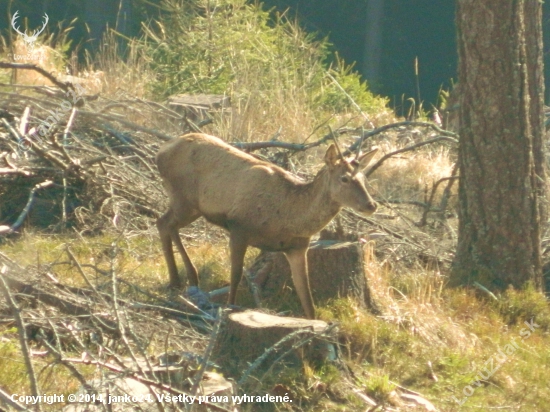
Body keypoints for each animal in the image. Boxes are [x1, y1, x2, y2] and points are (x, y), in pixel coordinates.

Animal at [156, 132, 380, 318]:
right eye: (344, 178)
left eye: (363, 177)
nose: (371, 204)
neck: (288, 219)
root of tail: (161, 151)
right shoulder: (238, 227)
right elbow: (235, 275)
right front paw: (228, 308)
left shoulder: (298, 247)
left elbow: (306, 295)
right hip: (183, 198)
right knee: (163, 223)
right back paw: (179, 280)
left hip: (190, 206)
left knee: (168, 225)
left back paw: (186, 279)